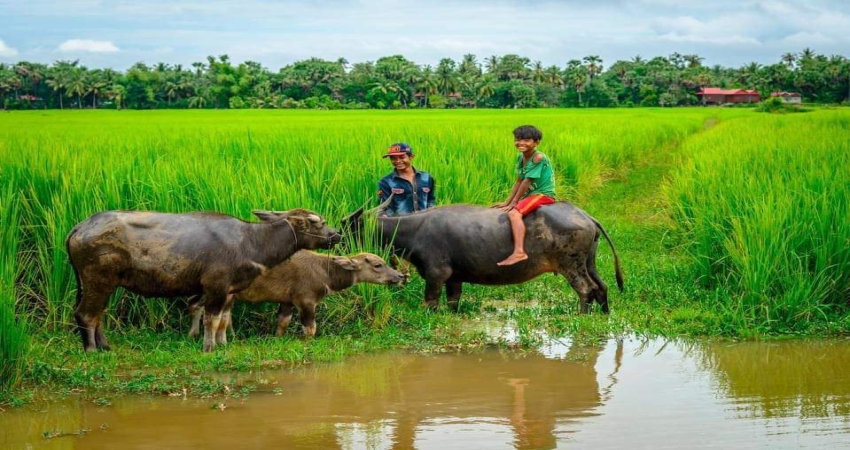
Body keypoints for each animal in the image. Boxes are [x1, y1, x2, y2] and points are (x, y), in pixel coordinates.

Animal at [65, 209, 342, 354]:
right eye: (320, 224)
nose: (337, 234)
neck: (250, 242)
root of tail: (80, 227)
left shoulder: (229, 292)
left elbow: (223, 321)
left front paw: (222, 343)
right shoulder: (215, 288)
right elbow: (211, 320)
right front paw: (208, 347)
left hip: (105, 284)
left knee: (98, 314)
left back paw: (105, 346)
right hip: (97, 280)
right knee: (86, 314)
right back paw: (91, 350)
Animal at [187, 250, 406, 342]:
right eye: (377, 265)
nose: (400, 276)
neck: (324, 272)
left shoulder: (287, 301)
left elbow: (283, 322)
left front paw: (277, 338)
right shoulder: (306, 301)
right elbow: (310, 329)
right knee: (196, 306)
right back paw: (195, 334)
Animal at [344, 200, 624, 312]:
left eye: (349, 226)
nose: (337, 236)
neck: (414, 230)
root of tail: (584, 215)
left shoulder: (436, 275)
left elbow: (430, 303)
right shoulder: (454, 278)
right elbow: (453, 302)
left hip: (571, 265)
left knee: (586, 289)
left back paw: (582, 315)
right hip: (589, 261)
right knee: (602, 286)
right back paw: (604, 313)